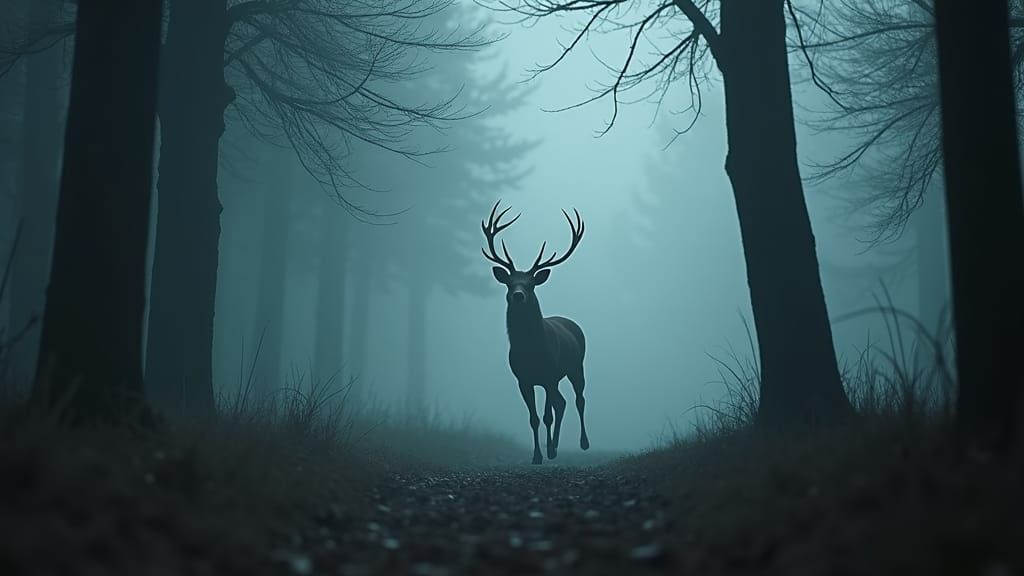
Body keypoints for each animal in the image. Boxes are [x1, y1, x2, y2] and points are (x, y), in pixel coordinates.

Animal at [481, 201, 588, 465]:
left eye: (530, 285)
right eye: (510, 284)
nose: (519, 295)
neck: (531, 350)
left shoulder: (549, 375)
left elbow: (547, 416)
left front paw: (546, 452)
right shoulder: (523, 379)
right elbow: (534, 419)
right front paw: (538, 455)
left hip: (576, 366)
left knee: (578, 400)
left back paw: (582, 443)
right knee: (561, 403)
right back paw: (556, 446)